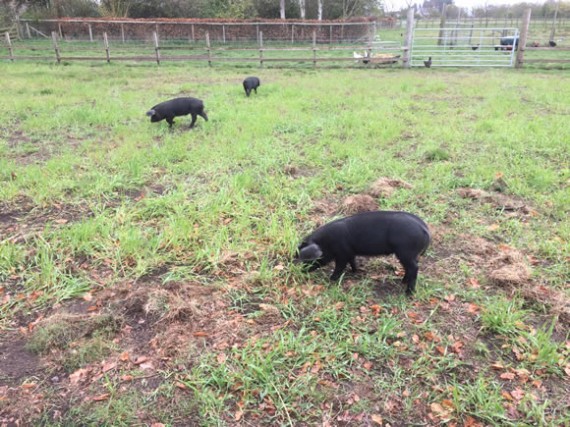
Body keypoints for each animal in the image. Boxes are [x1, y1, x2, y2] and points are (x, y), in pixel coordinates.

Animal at [296, 212, 428, 296]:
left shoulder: (342, 254)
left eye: (308, 259)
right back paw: (402, 282)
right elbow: (352, 261)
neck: (325, 243)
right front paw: (355, 271)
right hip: (408, 254)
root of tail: (424, 227)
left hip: (406, 252)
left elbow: (339, 267)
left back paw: (408, 293)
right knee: (410, 268)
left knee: (414, 268)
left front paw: (331, 280)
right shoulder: (349, 252)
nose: (301, 271)